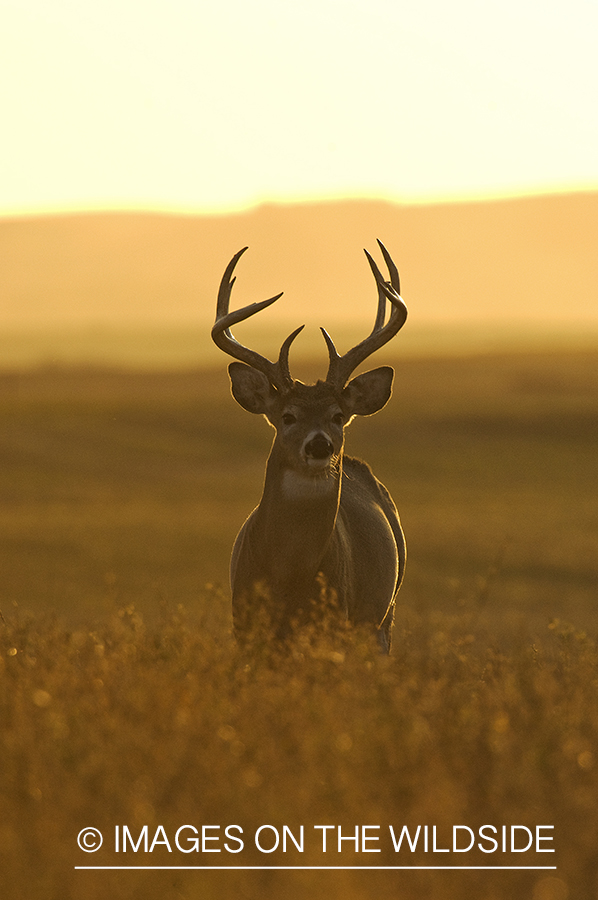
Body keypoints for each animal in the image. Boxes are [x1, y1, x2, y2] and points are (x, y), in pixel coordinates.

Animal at [213, 239, 410, 652]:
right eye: (287, 416)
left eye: (338, 415)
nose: (319, 446)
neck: (290, 576)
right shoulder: (244, 625)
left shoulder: (336, 622)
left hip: (383, 616)